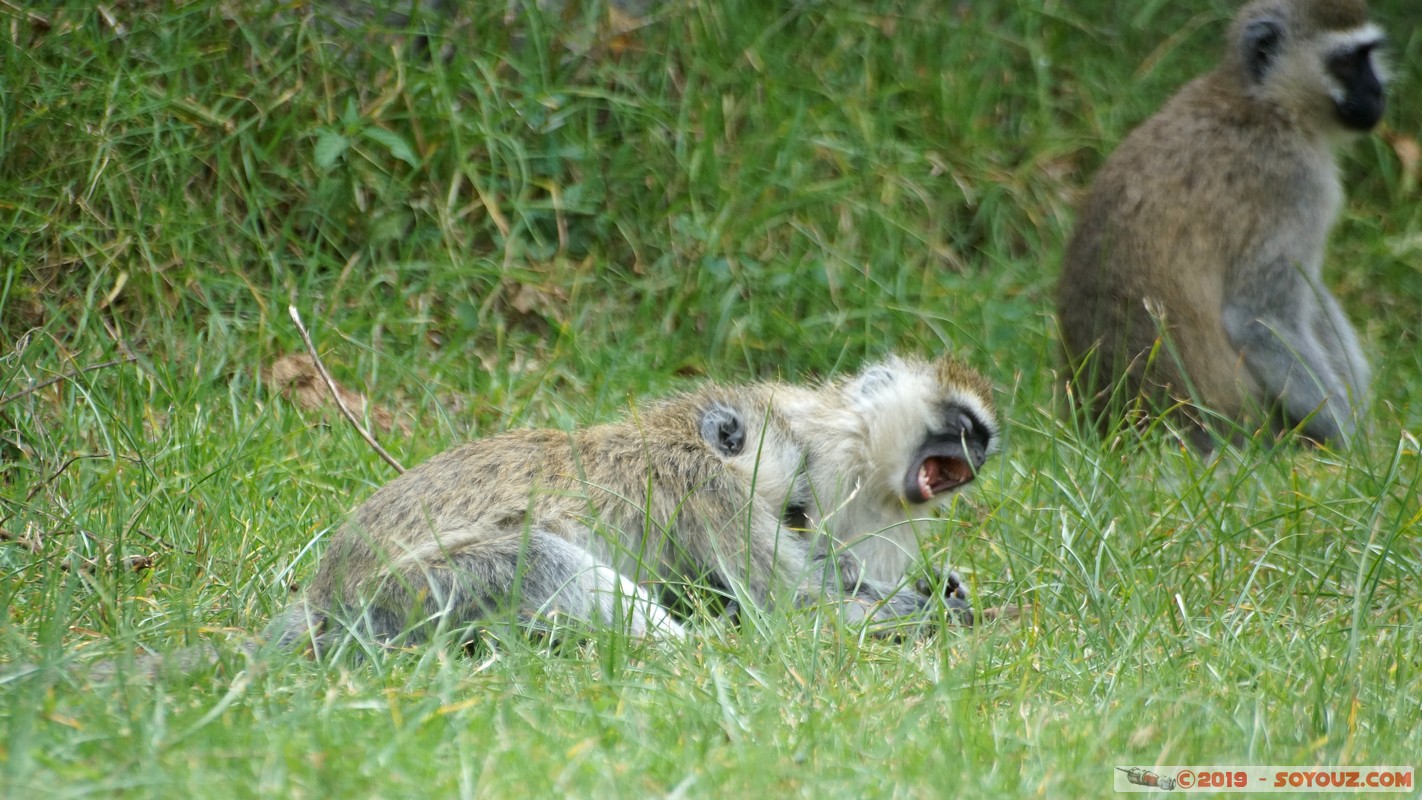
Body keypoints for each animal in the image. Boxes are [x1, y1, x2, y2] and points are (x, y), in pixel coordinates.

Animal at [267, 353, 1001, 653]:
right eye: (963, 426)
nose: (981, 452)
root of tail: (328, 600)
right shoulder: (714, 496)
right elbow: (791, 605)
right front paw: (926, 608)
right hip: (414, 597)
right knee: (537, 557)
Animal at [1063, 0, 1382, 449]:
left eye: (1369, 55)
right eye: (1347, 62)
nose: (1378, 92)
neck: (1263, 101)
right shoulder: (1295, 181)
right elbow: (1258, 319)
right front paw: (1357, 450)